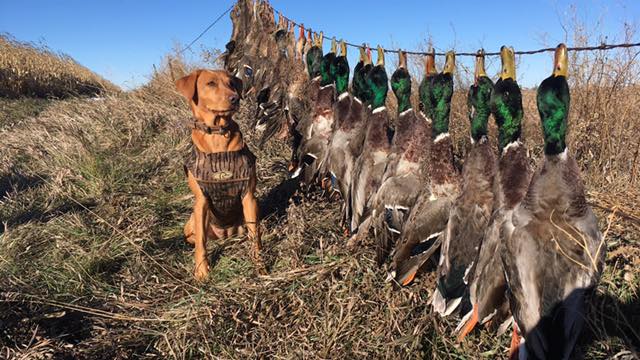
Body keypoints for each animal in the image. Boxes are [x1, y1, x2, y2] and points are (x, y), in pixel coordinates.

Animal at [175, 69, 264, 280]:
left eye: (231, 83)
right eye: (210, 83)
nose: (235, 99)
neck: (217, 136)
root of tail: (223, 236)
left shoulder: (249, 196)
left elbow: (256, 236)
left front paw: (260, 265)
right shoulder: (201, 201)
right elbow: (201, 242)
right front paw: (201, 270)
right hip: (191, 221)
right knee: (196, 237)